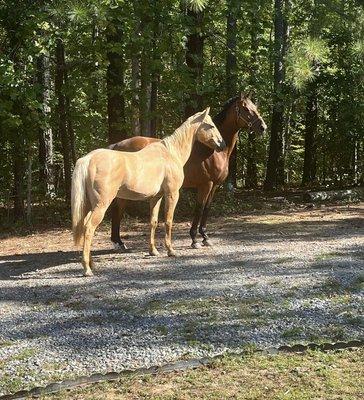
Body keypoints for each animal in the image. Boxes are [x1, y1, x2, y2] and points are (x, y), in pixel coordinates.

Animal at [70, 108, 225, 276]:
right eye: (210, 125)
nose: (222, 144)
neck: (171, 153)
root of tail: (88, 159)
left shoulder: (156, 197)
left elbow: (153, 222)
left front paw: (153, 251)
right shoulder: (172, 194)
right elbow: (168, 221)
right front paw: (171, 250)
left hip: (87, 205)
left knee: (84, 227)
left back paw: (92, 264)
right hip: (101, 205)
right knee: (89, 229)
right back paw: (87, 268)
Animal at [109, 93, 268, 250]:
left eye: (255, 107)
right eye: (246, 109)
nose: (263, 127)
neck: (211, 151)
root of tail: (117, 145)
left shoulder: (214, 186)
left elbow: (207, 208)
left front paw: (205, 237)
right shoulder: (206, 184)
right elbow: (199, 208)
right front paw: (194, 239)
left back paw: (119, 242)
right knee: (118, 210)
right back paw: (119, 243)